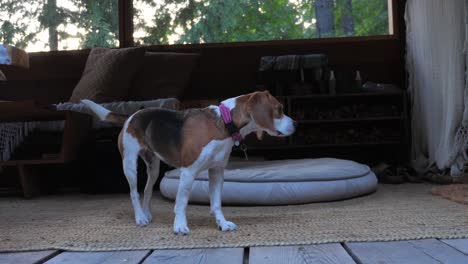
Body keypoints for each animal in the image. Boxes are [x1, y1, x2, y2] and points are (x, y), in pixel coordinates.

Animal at [83, 91, 296, 235]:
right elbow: (182, 202)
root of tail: (131, 116)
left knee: (148, 190)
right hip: (129, 164)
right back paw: (140, 218)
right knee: (134, 192)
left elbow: (216, 203)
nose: (295, 124)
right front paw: (179, 226)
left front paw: (222, 223)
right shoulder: (188, 172)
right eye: (279, 110)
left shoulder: (217, 172)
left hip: (153, 167)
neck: (224, 122)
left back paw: (147, 213)